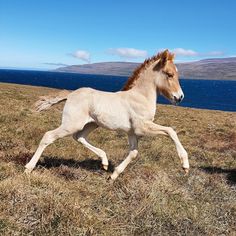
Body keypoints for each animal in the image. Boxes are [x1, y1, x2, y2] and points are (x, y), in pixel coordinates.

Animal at [24, 49, 189, 179]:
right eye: (169, 74)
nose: (180, 97)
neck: (140, 97)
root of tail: (70, 94)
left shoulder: (132, 132)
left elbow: (134, 152)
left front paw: (113, 175)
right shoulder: (142, 127)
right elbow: (170, 131)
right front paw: (185, 165)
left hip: (91, 124)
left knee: (79, 137)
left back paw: (104, 161)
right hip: (71, 124)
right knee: (48, 136)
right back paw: (28, 168)